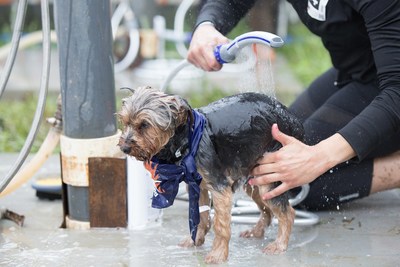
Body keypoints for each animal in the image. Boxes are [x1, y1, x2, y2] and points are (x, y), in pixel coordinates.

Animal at [118, 86, 304, 264]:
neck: (188, 140)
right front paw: (195, 241)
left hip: (269, 176)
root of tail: (293, 118)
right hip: (254, 177)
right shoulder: (197, 186)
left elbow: (220, 226)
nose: (124, 148)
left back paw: (279, 245)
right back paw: (256, 232)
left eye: (144, 125)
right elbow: (201, 217)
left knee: (288, 213)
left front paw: (218, 255)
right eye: (125, 123)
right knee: (267, 210)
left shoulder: (219, 187)